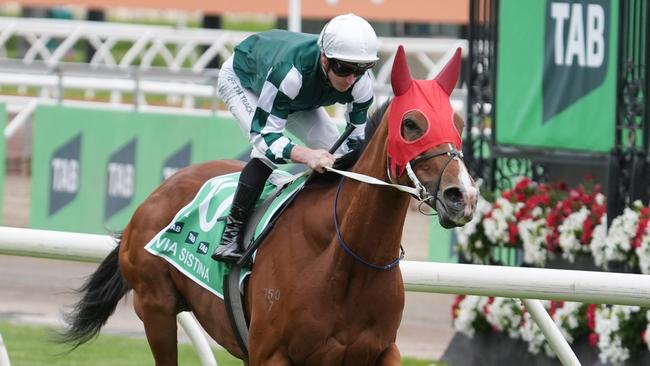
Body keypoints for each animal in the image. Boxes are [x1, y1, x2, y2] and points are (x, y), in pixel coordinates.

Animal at [60, 46, 476, 366]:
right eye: (411, 124)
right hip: (156, 308)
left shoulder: (382, 351)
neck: (347, 262)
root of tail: (155, 195)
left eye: (457, 122)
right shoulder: (271, 353)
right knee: (261, 150)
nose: (463, 196)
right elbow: (269, 136)